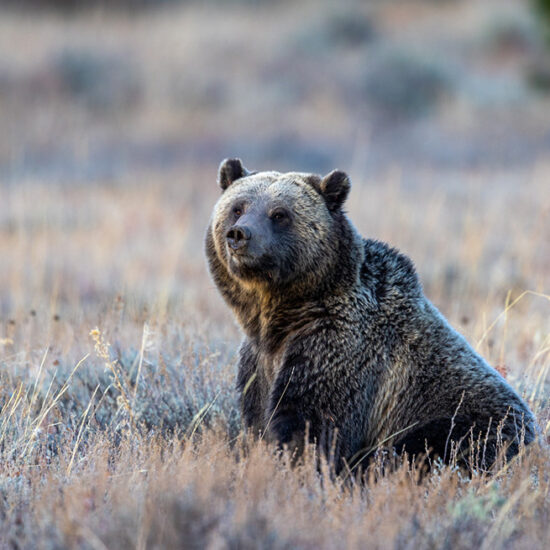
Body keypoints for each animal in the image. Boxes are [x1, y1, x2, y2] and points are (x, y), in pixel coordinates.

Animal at [206, 158, 540, 474]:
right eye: (238, 207)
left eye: (279, 214)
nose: (240, 234)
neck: (279, 315)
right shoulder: (258, 360)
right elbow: (258, 419)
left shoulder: (336, 347)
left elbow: (313, 424)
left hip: (468, 419)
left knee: (433, 446)